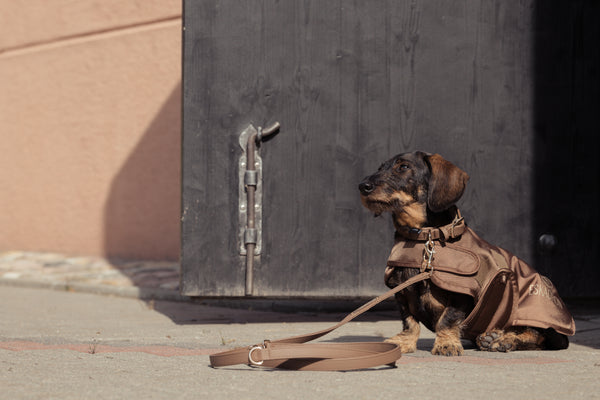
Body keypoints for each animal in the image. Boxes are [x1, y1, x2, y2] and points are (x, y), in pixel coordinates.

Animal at [358, 152, 576, 354]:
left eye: (403, 167)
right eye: (380, 167)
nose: (362, 186)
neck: (424, 239)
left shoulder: (461, 293)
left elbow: (447, 319)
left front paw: (446, 344)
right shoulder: (401, 290)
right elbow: (409, 322)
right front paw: (404, 342)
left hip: (531, 314)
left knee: (540, 336)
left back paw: (504, 340)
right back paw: (493, 336)